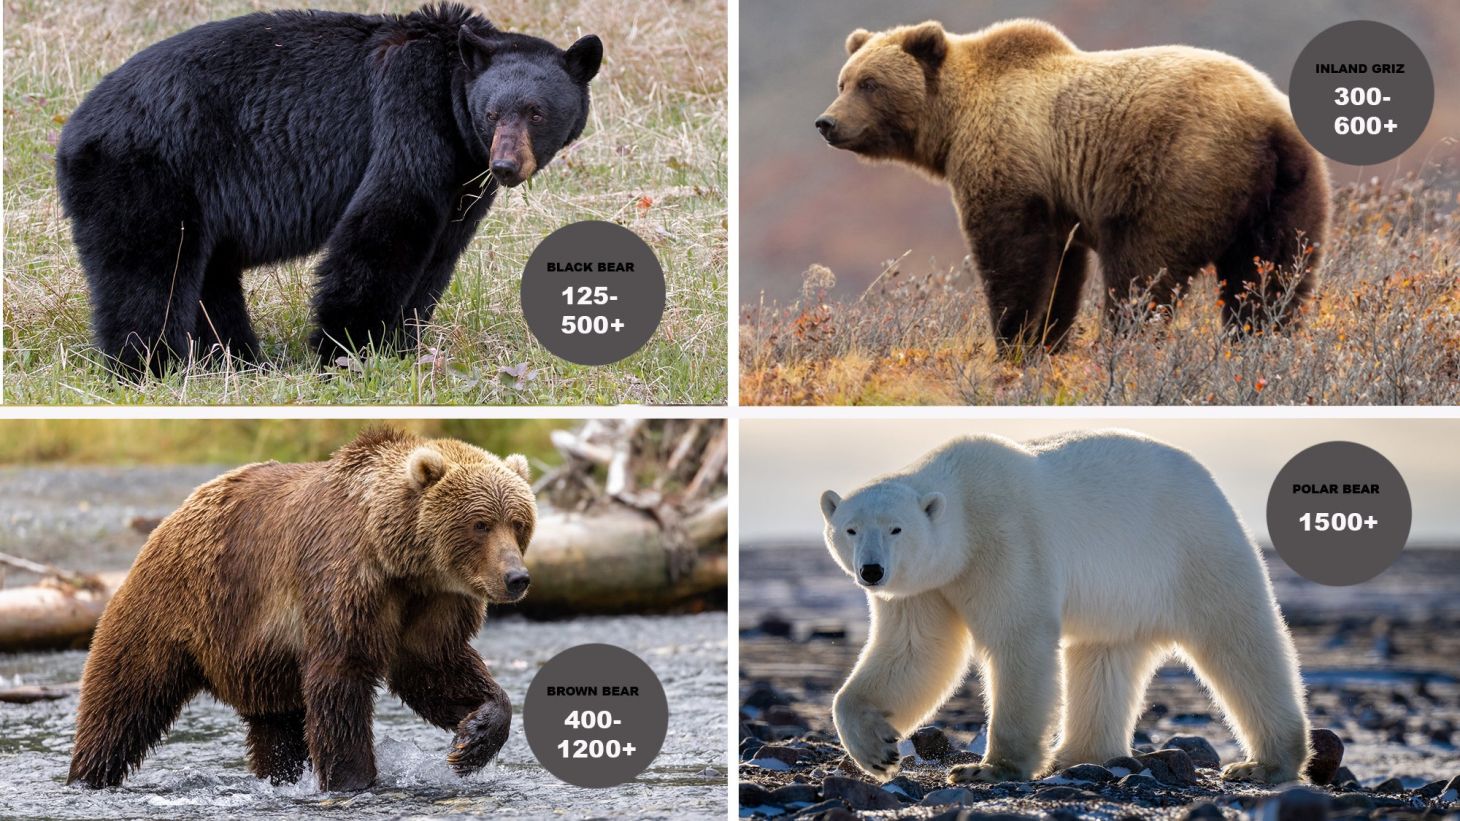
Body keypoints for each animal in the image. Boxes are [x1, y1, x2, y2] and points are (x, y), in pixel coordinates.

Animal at [56, 3, 602, 377]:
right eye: (492, 113)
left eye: (536, 112)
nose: (506, 165)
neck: (450, 90)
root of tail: (70, 132)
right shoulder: (411, 116)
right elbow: (387, 224)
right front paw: (349, 349)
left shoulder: (464, 176)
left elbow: (441, 250)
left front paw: (403, 342)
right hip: (148, 173)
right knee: (149, 272)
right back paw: (153, 365)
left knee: (208, 275)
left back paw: (235, 359)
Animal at [66, 427, 537, 791]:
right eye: (480, 524)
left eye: (517, 522)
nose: (516, 578)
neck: (400, 562)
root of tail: (170, 519)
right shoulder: (344, 583)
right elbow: (340, 681)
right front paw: (353, 780)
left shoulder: (435, 602)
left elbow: (434, 668)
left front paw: (470, 742)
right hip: (173, 608)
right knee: (123, 699)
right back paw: (88, 775)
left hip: (261, 665)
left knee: (277, 730)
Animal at [815, 19, 1329, 354]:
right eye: (843, 81)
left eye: (870, 83)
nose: (827, 122)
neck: (953, 123)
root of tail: (1268, 123)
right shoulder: (1059, 200)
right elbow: (1062, 270)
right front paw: (1047, 340)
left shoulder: (1011, 163)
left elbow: (1013, 256)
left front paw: (1014, 340)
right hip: (1288, 193)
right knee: (1273, 277)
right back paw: (1259, 343)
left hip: (1179, 172)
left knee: (1142, 272)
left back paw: (1125, 344)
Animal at [819, 429, 1311, 785]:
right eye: (851, 529)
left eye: (896, 528)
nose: (872, 571)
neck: (965, 508)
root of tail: (1209, 483)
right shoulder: (927, 587)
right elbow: (915, 652)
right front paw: (878, 750)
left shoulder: (1006, 540)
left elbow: (1019, 640)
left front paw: (987, 768)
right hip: (1121, 598)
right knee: (1103, 659)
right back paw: (1077, 754)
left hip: (1191, 549)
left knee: (1238, 642)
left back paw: (1264, 763)